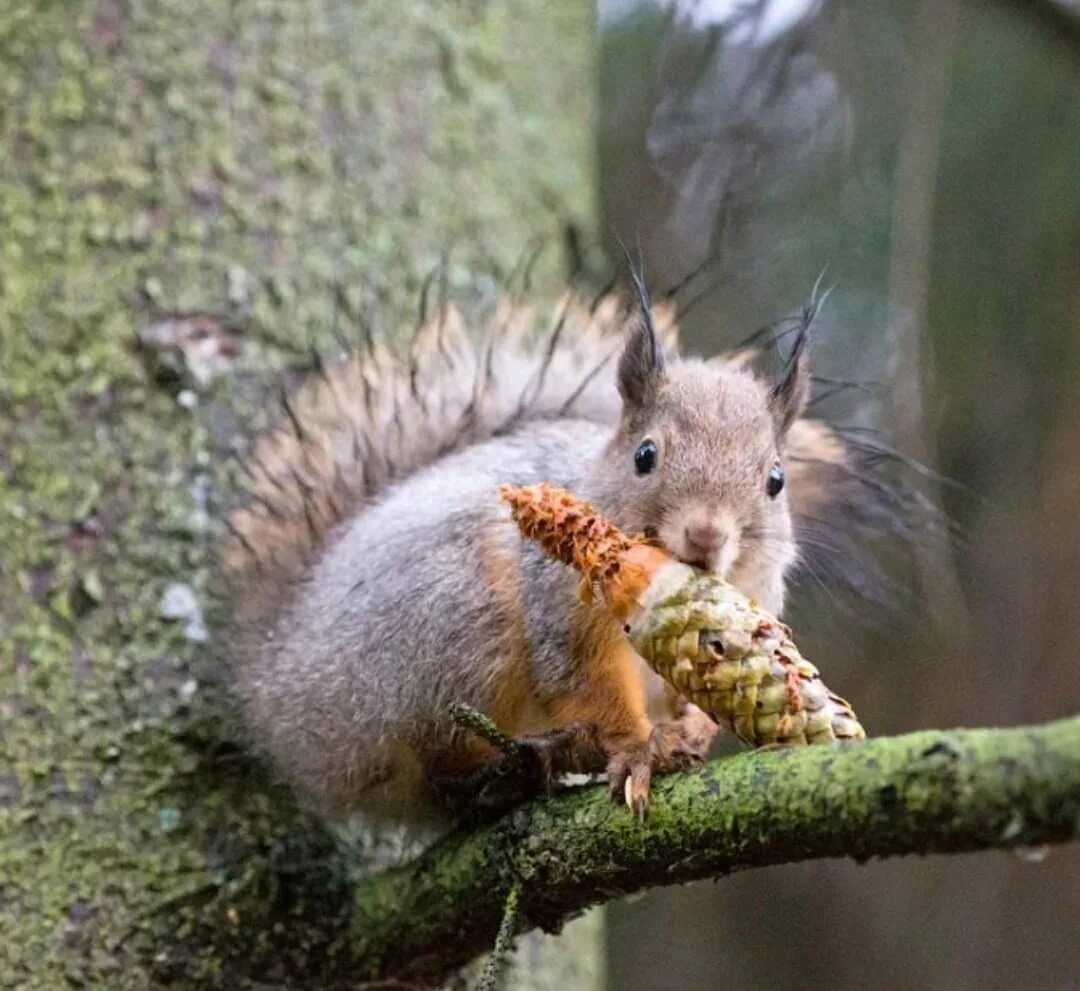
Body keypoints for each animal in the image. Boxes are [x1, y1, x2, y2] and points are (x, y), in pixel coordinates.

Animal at [223, 269, 898, 820]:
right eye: (645, 455)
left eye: (775, 480)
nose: (706, 535)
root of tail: (274, 677)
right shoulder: (559, 612)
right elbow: (585, 682)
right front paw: (635, 750)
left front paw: (690, 733)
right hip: (452, 620)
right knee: (435, 773)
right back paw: (518, 765)